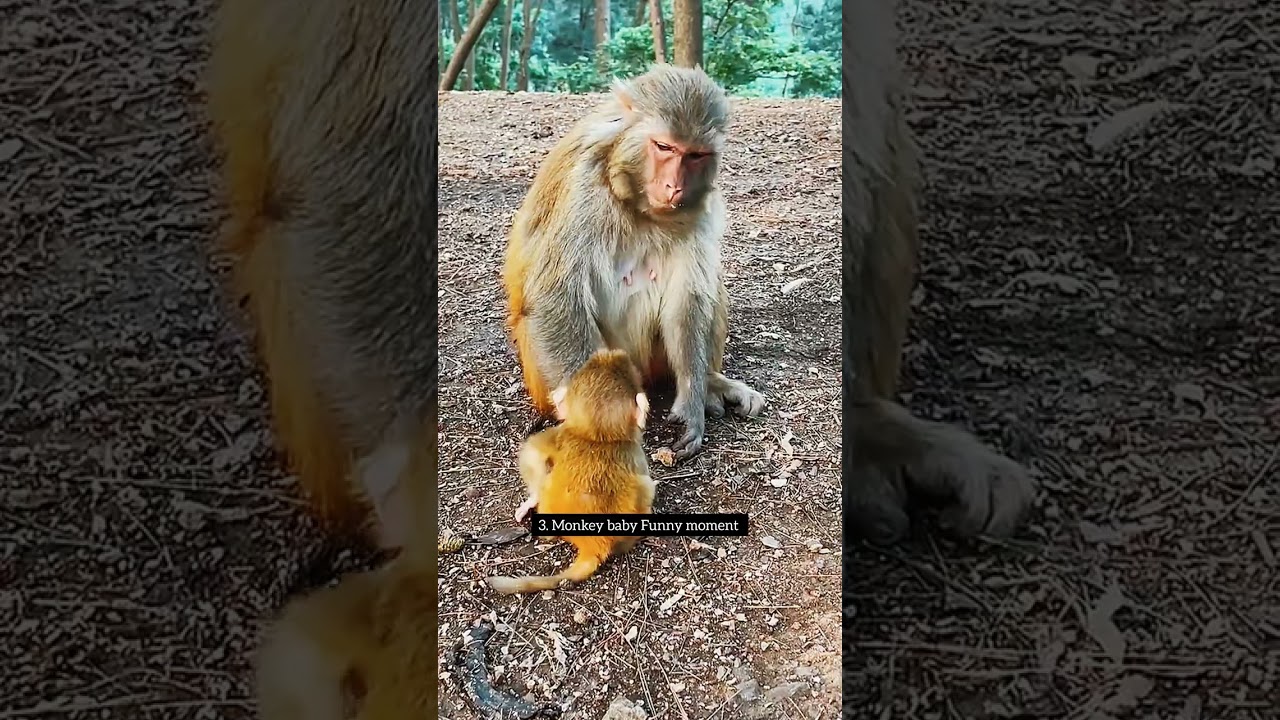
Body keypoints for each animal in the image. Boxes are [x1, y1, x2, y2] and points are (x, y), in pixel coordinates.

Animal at [486, 348, 657, 596]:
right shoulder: (634, 452)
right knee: (645, 486)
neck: (597, 437)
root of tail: (593, 546)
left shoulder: (563, 434)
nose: (612, 353)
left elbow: (533, 451)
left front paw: (531, 500)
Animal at [502, 64, 766, 463]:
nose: (674, 187)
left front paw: (692, 403)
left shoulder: (702, 205)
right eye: (664, 147)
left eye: (696, 156)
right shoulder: (584, 185)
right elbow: (555, 298)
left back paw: (710, 384)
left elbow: (687, 300)